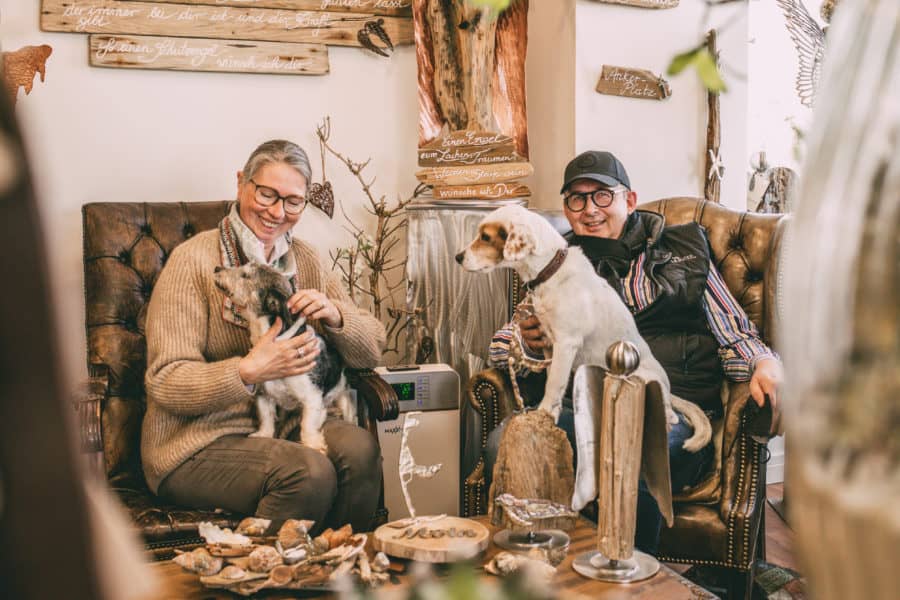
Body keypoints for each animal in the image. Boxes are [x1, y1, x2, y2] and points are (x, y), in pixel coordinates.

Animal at [214, 262, 356, 450]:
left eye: (246, 275)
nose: (216, 268)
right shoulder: (263, 395)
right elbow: (266, 419)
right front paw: (263, 435)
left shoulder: (311, 398)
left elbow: (307, 425)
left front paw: (313, 445)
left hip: (343, 397)